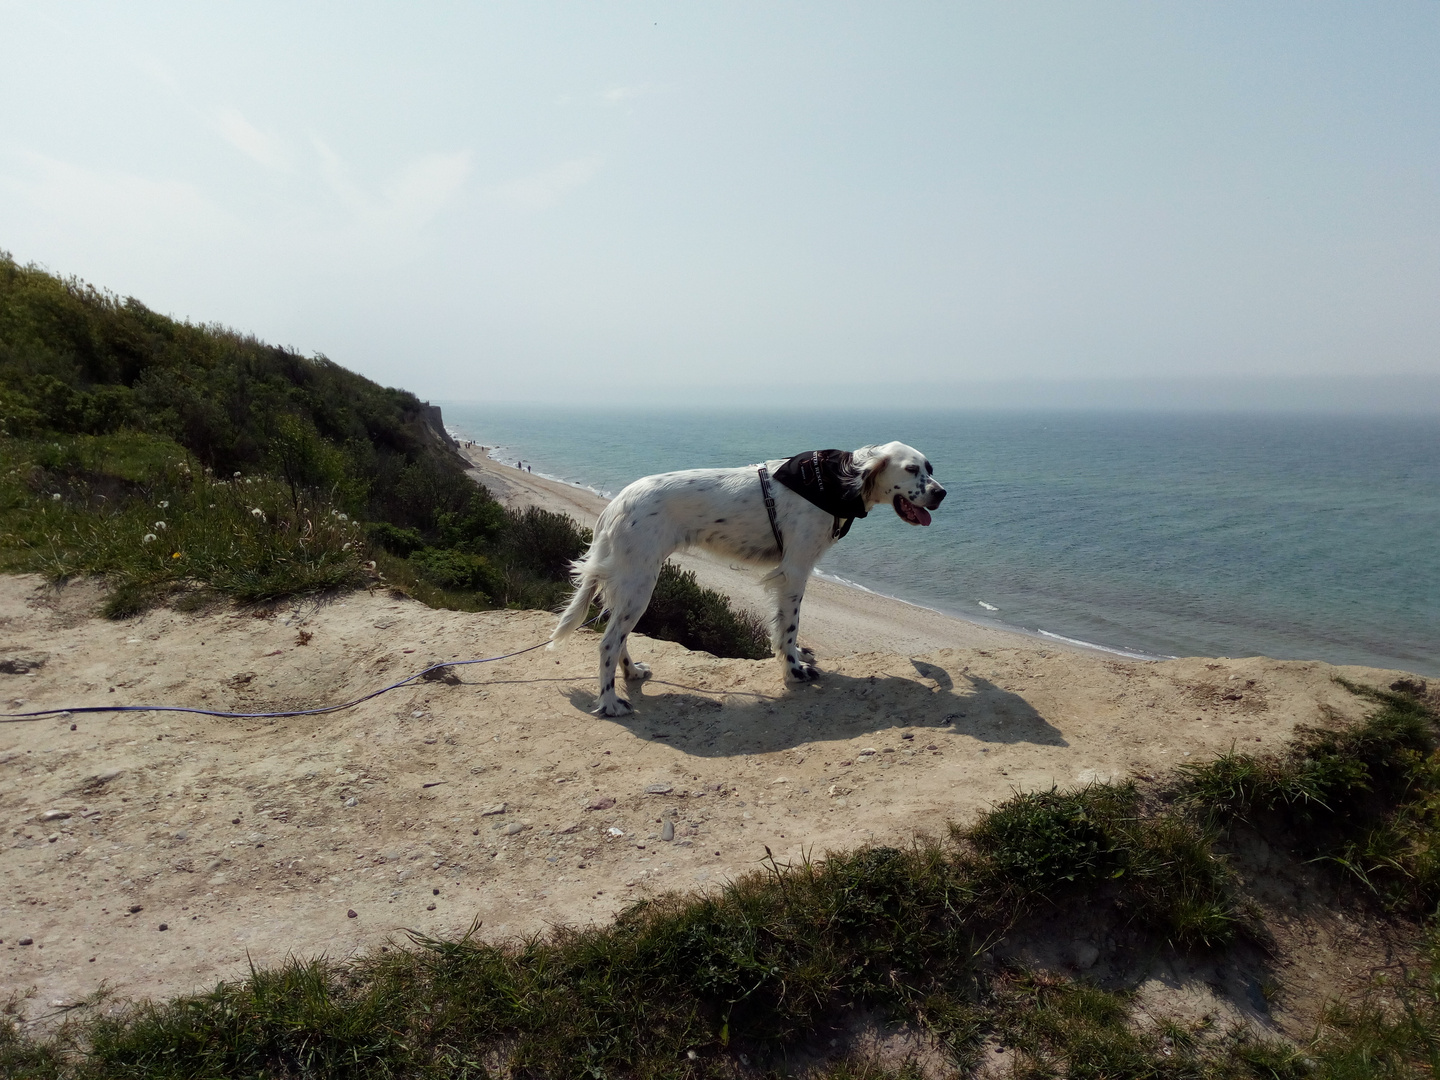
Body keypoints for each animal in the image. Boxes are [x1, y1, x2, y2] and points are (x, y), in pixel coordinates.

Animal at [550, 440, 944, 720]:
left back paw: (632, 674)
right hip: (640, 582)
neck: (835, 481)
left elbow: (784, 627)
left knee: (618, 638)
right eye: (911, 469)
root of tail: (614, 504)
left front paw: (798, 656)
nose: (941, 493)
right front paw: (794, 670)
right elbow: (789, 627)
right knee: (607, 643)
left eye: (930, 468)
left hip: (632, 583)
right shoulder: (796, 569)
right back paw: (610, 703)